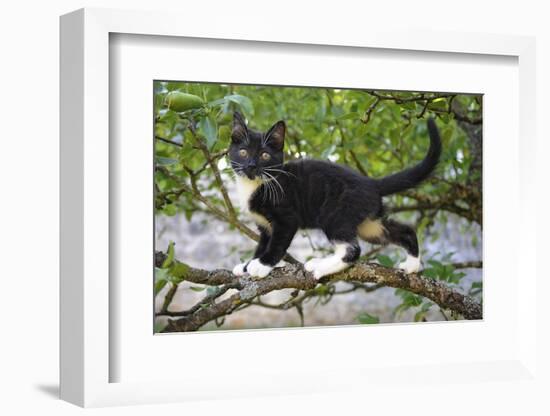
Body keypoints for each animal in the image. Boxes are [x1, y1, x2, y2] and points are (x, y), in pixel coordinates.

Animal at [229, 112, 444, 278]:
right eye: (243, 152)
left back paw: (319, 266)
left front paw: (261, 265)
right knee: (402, 231)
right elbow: (263, 244)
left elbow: (276, 244)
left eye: (265, 155)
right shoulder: (264, 226)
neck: (256, 184)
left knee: (352, 250)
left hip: (335, 213)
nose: (251, 166)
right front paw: (247, 265)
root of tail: (370, 182)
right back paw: (412, 265)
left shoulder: (287, 218)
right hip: (368, 223)